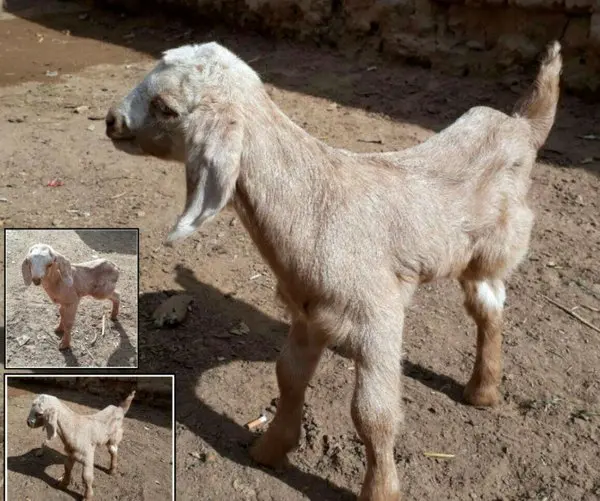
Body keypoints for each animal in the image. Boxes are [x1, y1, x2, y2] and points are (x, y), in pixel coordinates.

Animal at [106, 41, 562, 500]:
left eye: (166, 108)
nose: (111, 120)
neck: (315, 207)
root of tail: (521, 126)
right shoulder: (308, 313)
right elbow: (288, 376)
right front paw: (270, 449)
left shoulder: (378, 314)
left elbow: (373, 414)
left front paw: (380, 490)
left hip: (494, 247)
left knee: (489, 309)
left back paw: (482, 391)